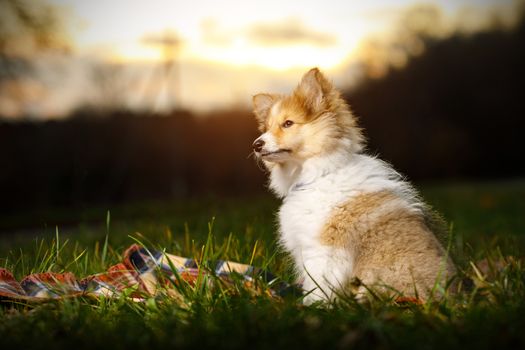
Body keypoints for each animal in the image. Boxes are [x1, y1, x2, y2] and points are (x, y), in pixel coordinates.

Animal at [252, 67, 452, 302]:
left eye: (288, 123)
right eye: (266, 128)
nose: (256, 145)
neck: (320, 174)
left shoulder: (324, 249)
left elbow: (317, 286)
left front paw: (310, 305)